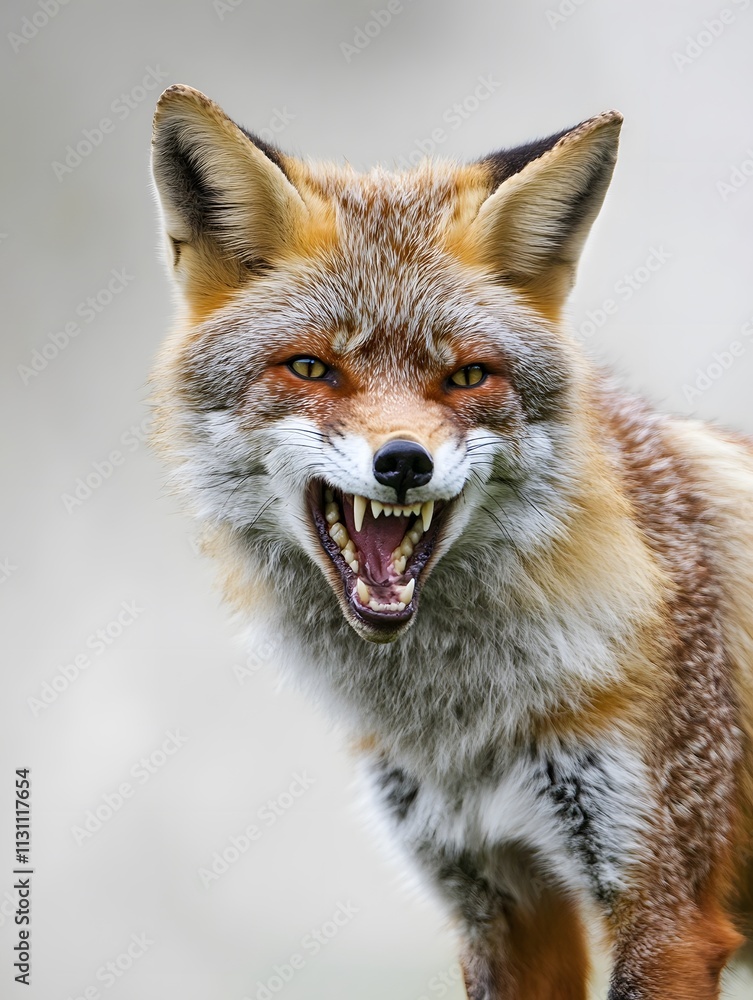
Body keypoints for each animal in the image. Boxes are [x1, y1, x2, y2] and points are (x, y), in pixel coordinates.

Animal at [149, 84, 753, 999]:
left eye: (467, 376)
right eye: (311, 368)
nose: (403, 462)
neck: (459, 723)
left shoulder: (667, 908)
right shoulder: (494, 895)